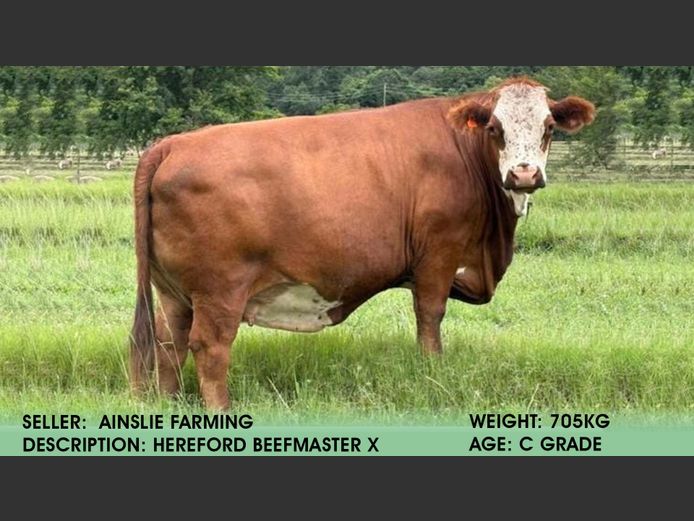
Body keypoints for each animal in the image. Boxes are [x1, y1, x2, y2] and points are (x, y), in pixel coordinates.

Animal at [130, 77, 595, 410]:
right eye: (496, 128)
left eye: (548, 127)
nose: (524, 174)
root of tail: (172, 143)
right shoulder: (438, 255)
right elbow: (430, 319)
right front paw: (433, 375)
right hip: (220, 290)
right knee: (209, 348)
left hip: (174, 293)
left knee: (168, 344)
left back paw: (169, 406)